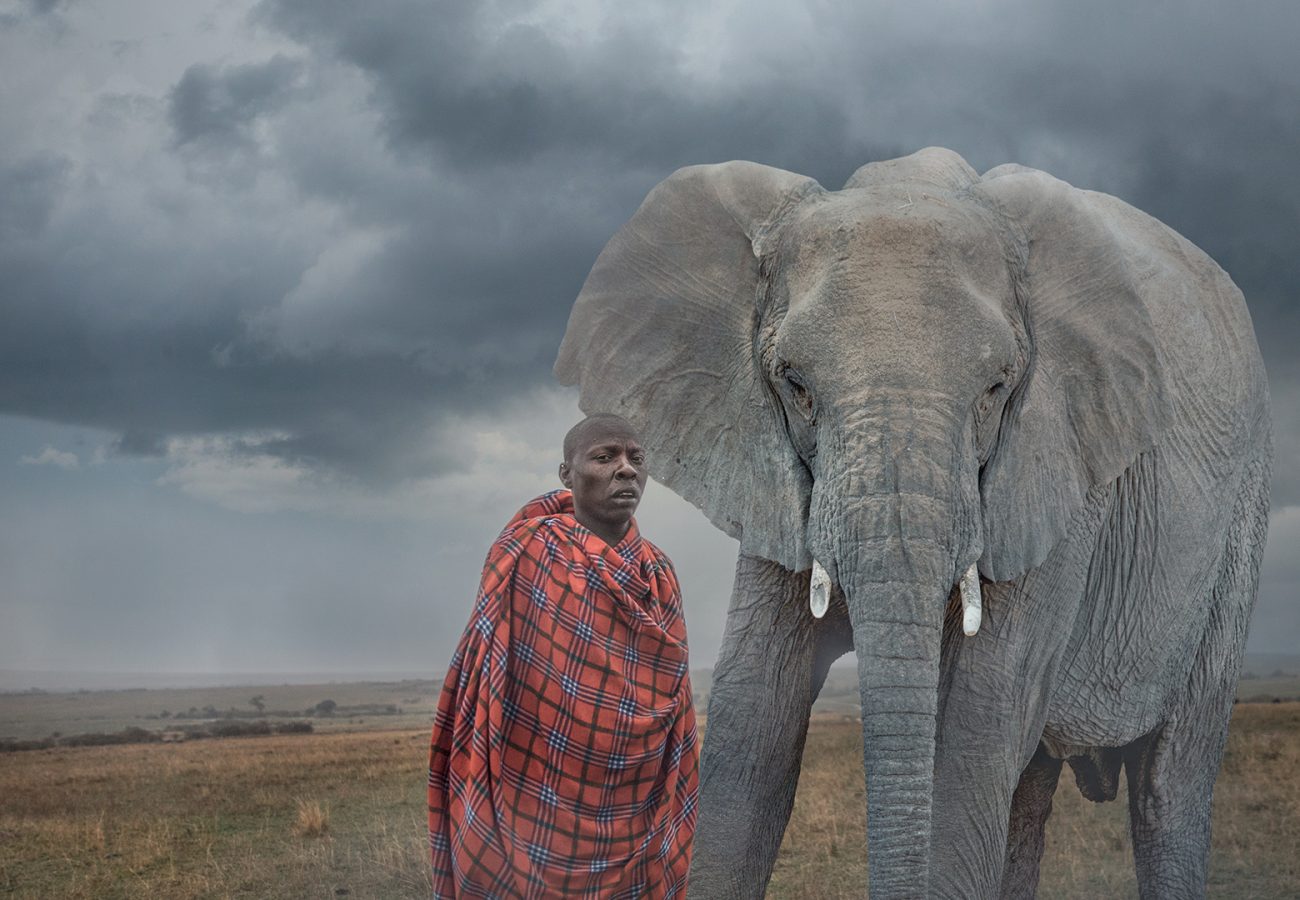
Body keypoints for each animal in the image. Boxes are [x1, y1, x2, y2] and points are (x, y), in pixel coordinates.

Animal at [553, 144, 1274, 894]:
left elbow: (976, 724)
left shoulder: (1061, 469)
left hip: (1238, 525)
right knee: (1029, 792)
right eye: (795, 385)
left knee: (1169, 785)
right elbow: (752, 716)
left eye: (996, 389)